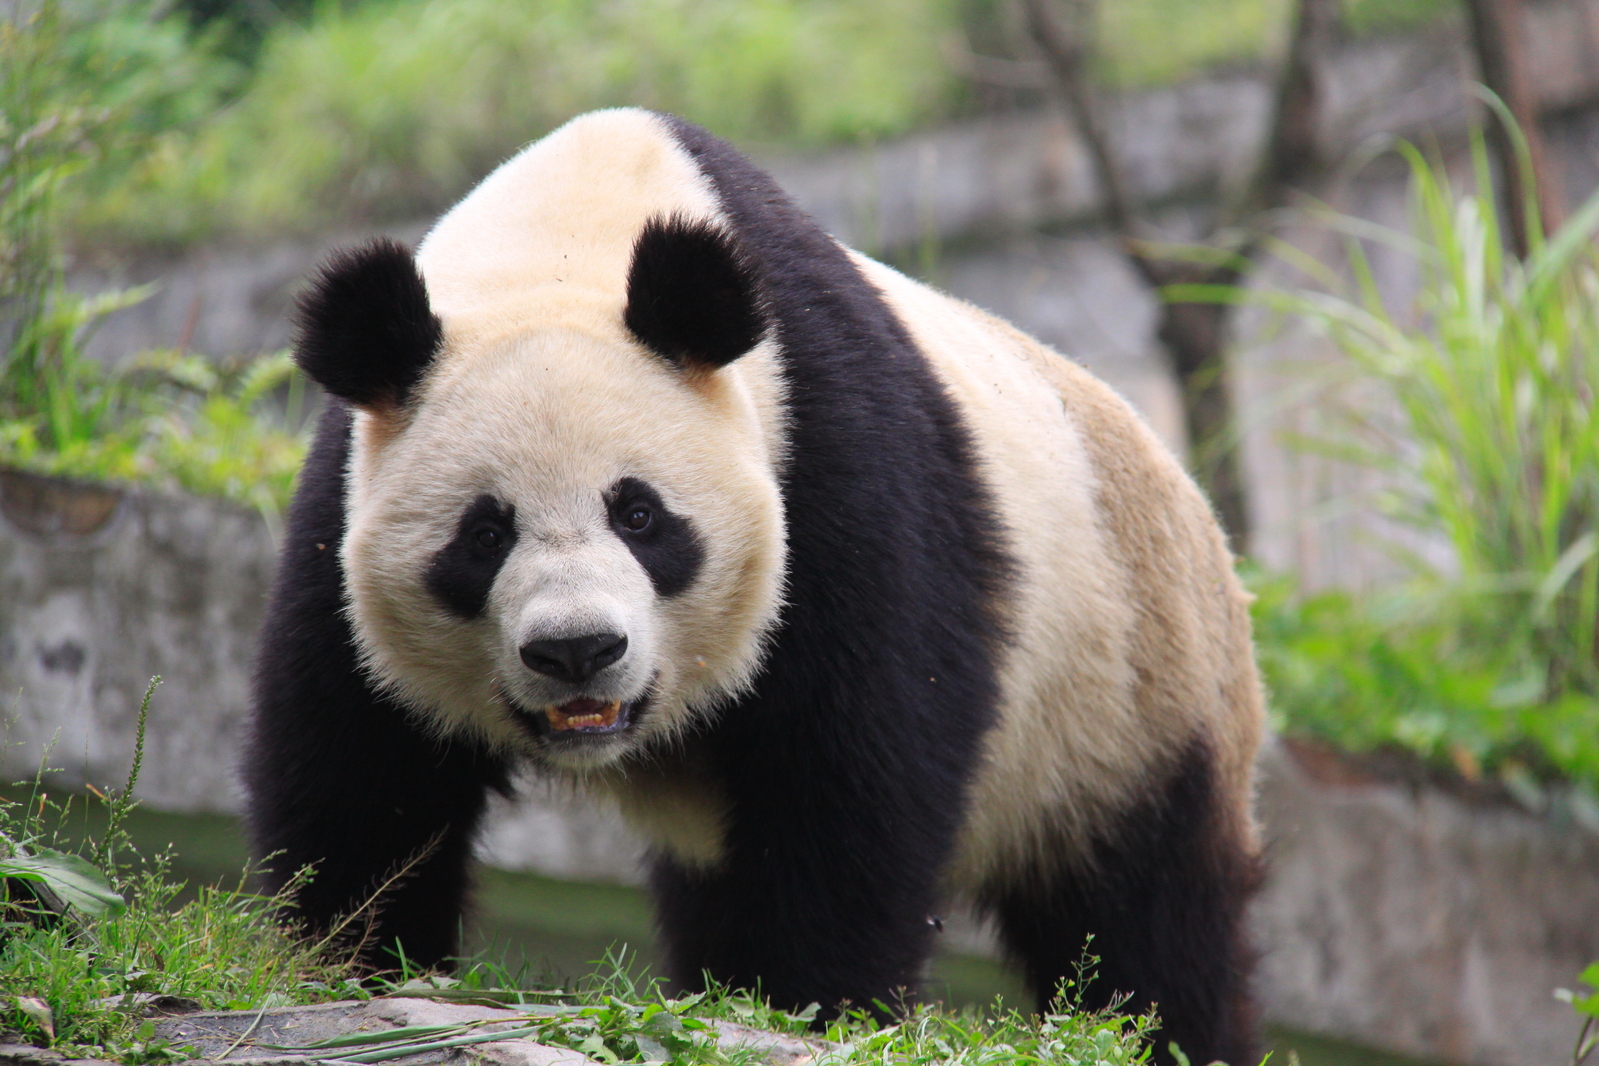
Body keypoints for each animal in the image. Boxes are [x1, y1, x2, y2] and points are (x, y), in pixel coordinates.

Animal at [245, 108, 1265, 1065]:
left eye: (640, 516)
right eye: (483, 535)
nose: (577, 650)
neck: (565, 244)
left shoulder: (836, 456)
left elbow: (857, 765)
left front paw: (810, 1000)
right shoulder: (346, 496)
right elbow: (363, 762)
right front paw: (359, 961)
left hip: (1127, 690)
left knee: (1144, 919)